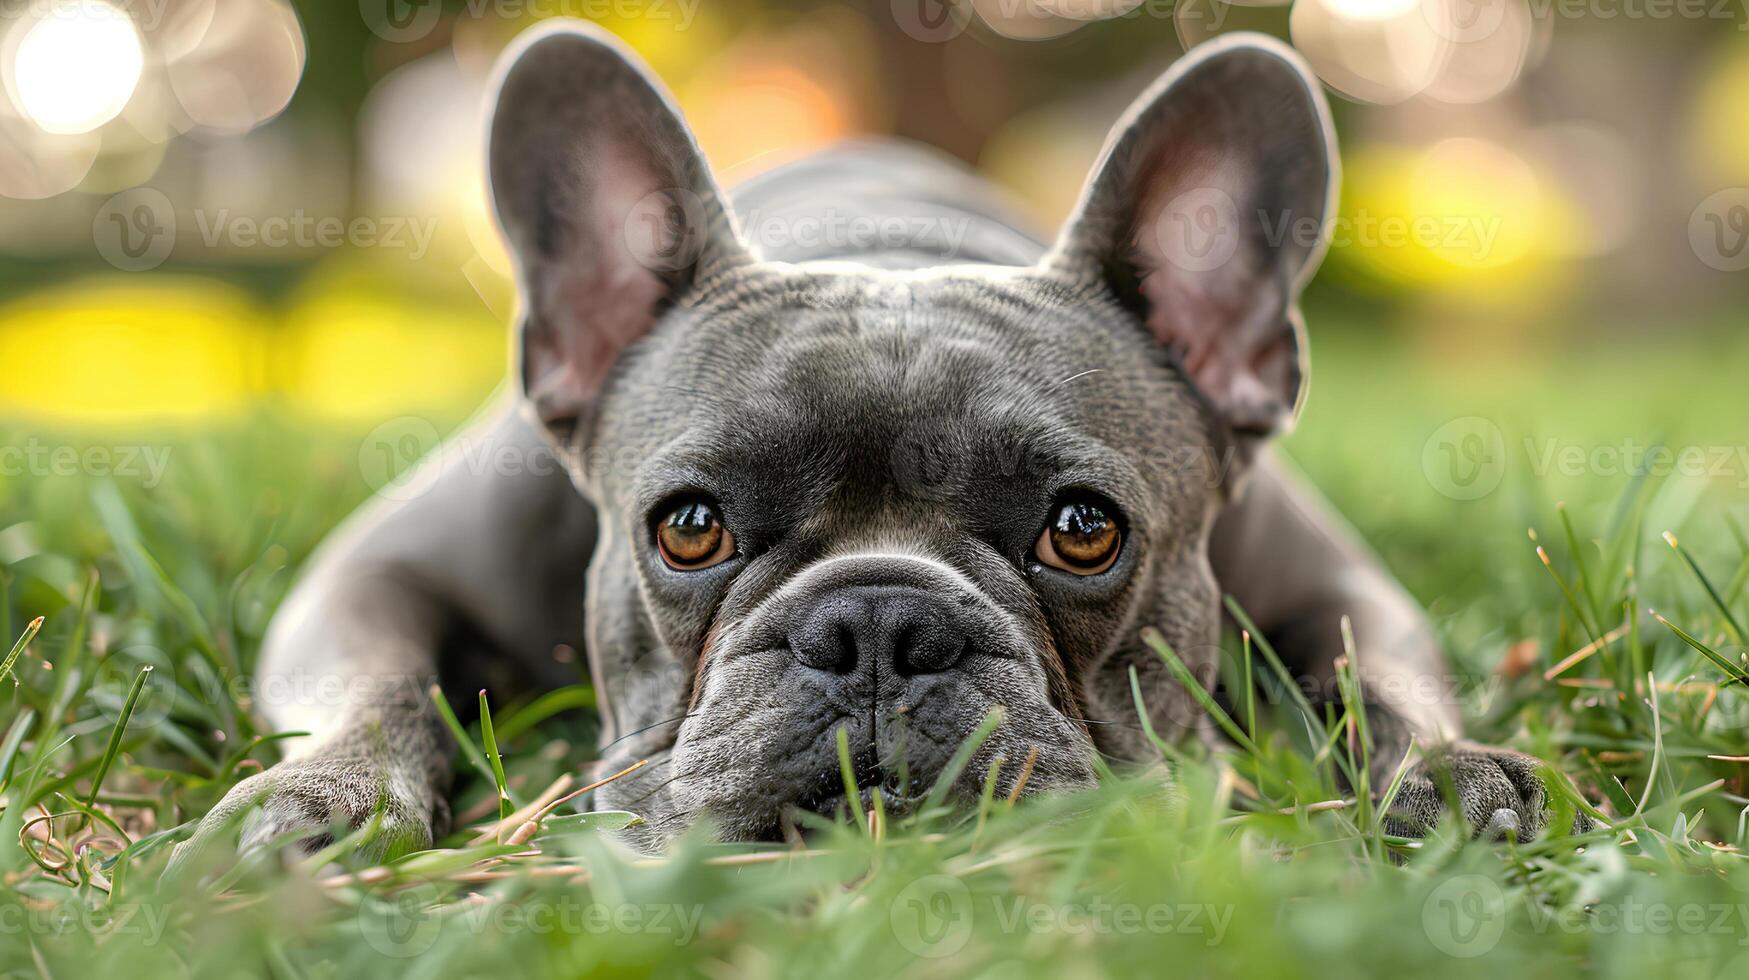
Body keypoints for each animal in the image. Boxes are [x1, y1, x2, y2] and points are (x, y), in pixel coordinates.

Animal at [174, 17, 1574, 857]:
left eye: (1085, 530)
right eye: (689, 526)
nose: (879, 626)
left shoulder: (1332, 576)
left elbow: (1376, 670)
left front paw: (1447, 768)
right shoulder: (372, 572)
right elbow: (380, 686)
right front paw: (326, 796)